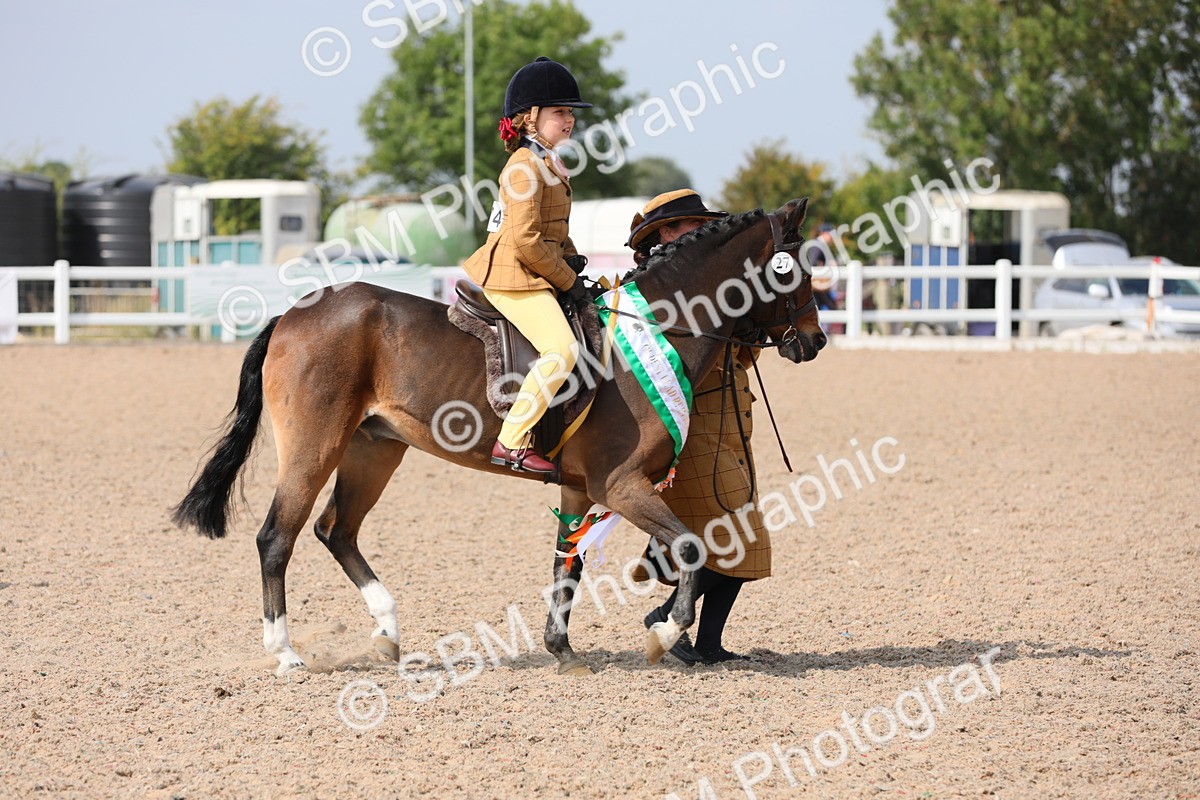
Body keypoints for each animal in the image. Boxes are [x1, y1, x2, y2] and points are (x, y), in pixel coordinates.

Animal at [173, 198, 825, 676]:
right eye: (798, 270)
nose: (815, 342)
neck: (656, 327)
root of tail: (294, 312)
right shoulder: (621, 485)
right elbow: (689, 547)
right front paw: (662, 634)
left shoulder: (581, 489)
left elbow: (567, 567)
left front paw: (563, 650)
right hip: (314, 446)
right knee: (276, 538)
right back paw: (286, 653)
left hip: (374, 449)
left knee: (337, 530)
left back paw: (387, 632)